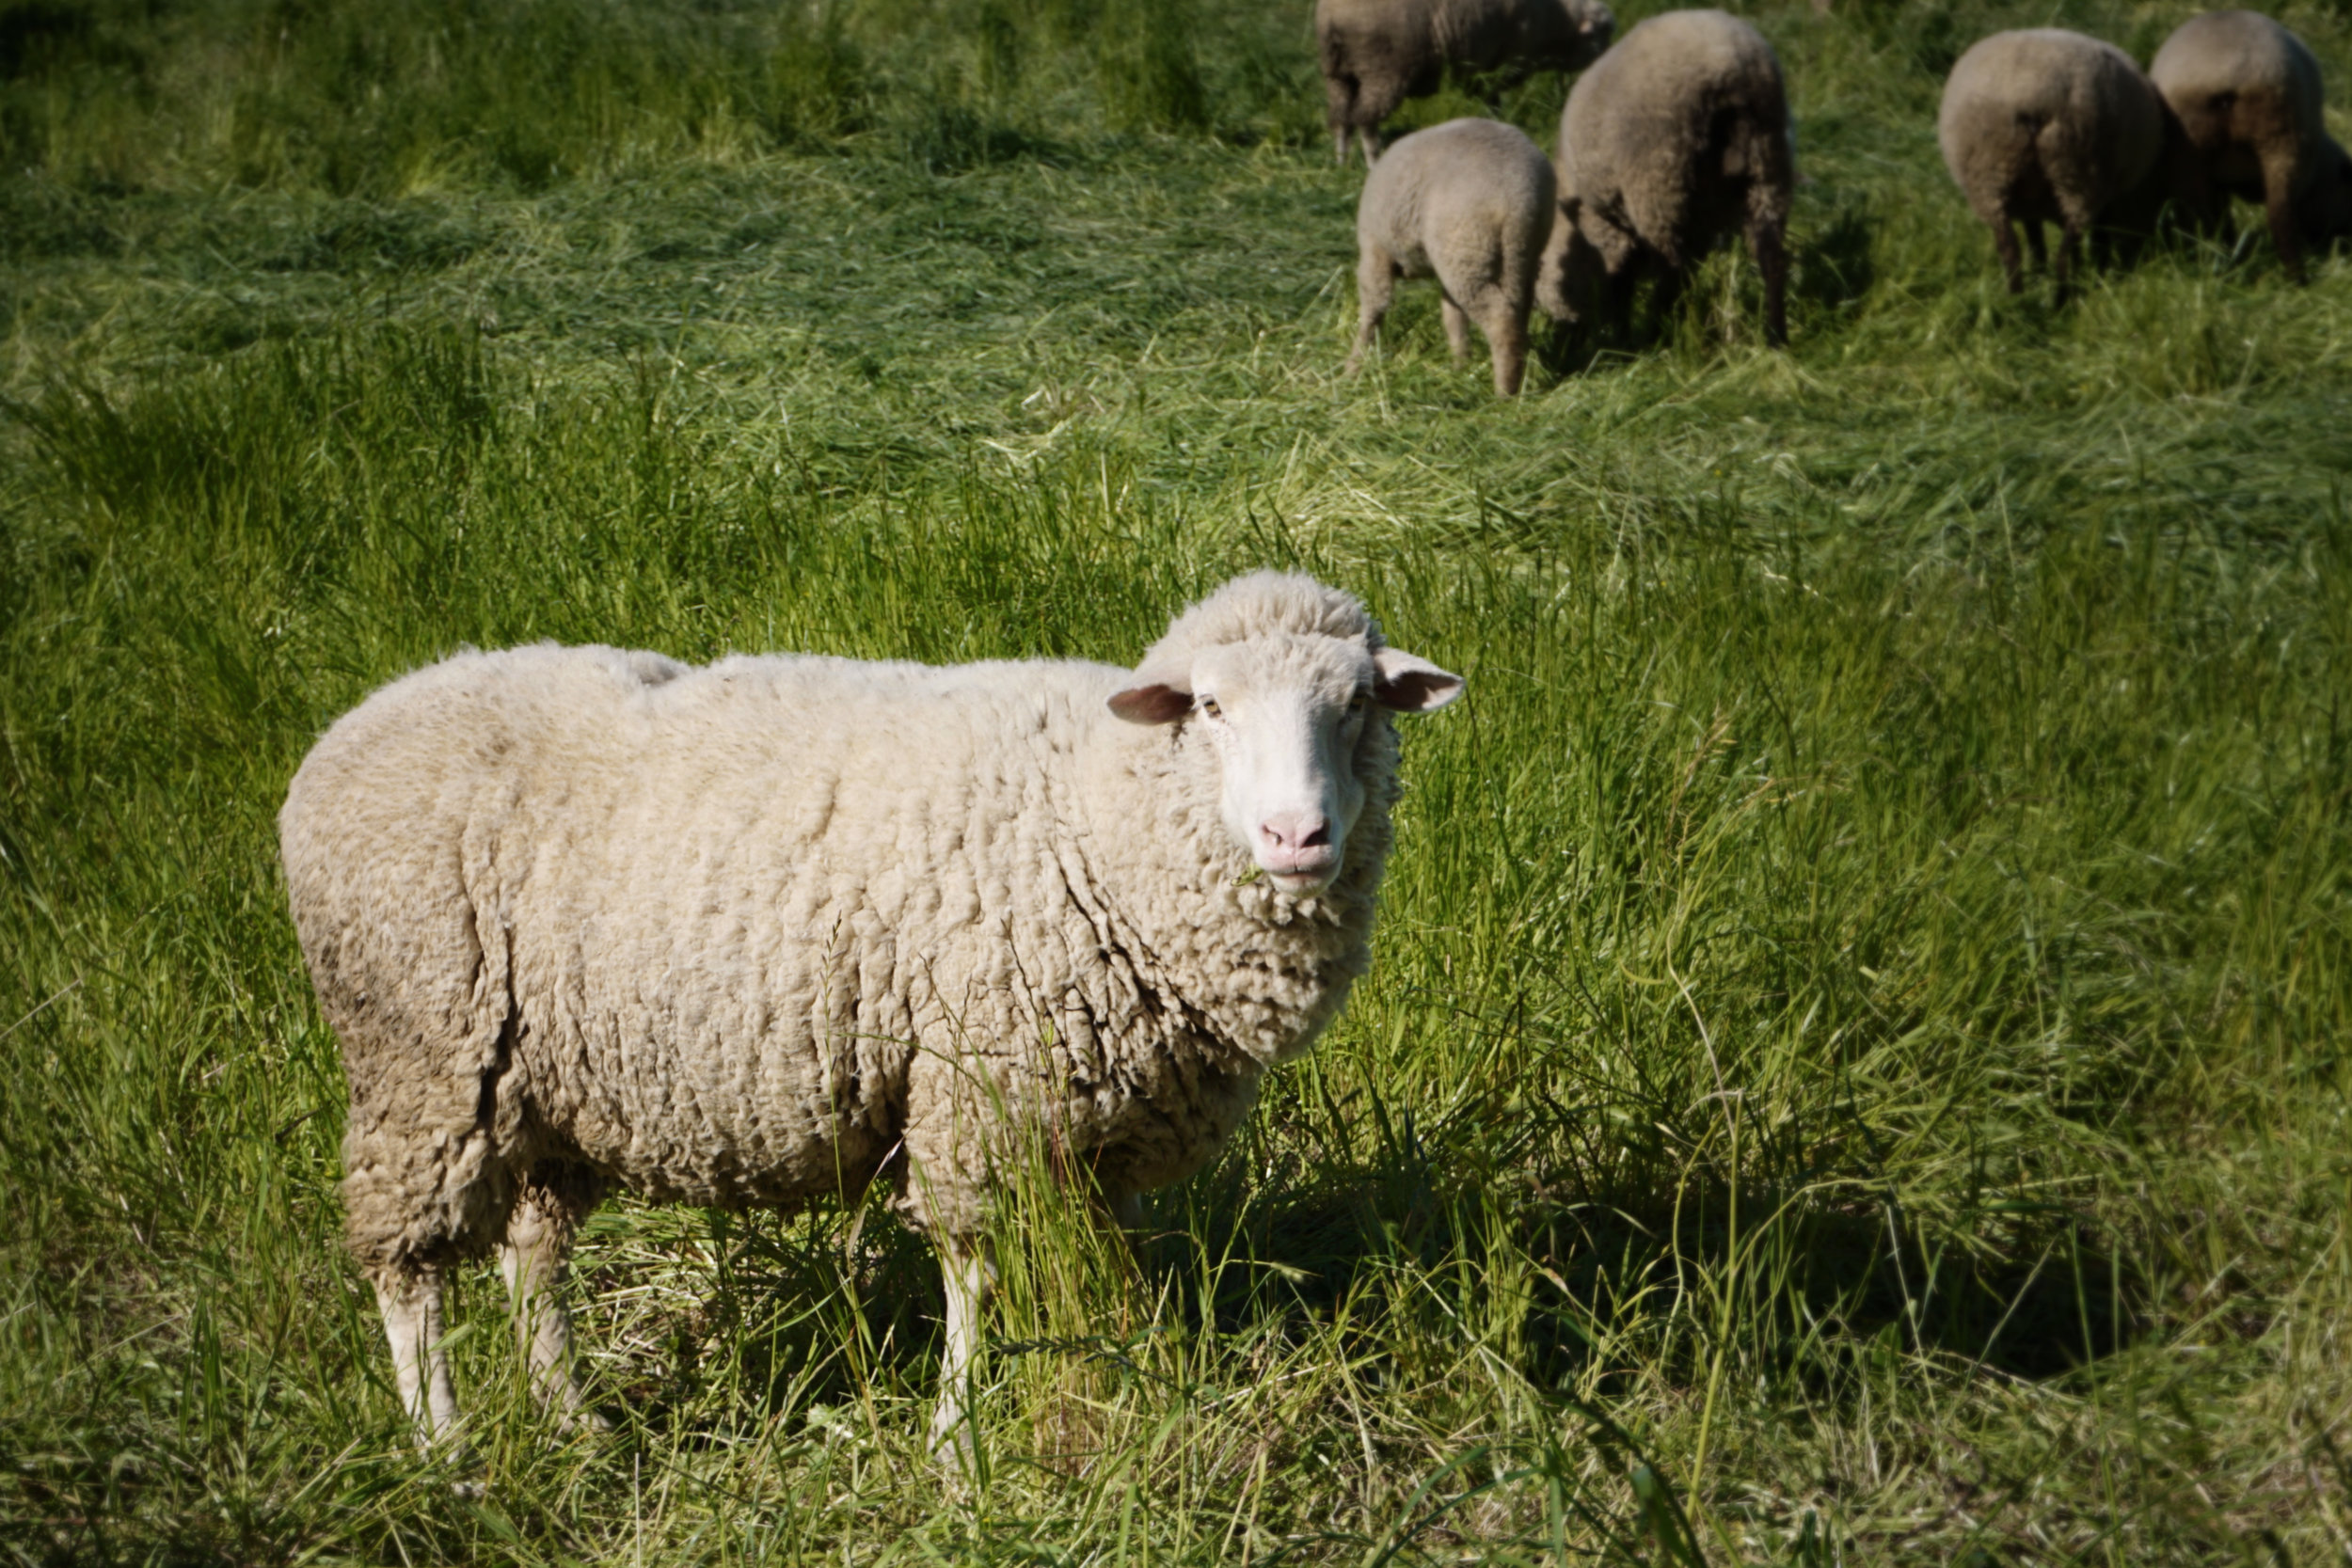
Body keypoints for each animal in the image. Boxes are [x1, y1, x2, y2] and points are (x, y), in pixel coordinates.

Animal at [279, 566, 1468, 1457]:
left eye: (1356, 704)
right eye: (1213, 707)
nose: (1296, 837)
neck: (1094, 806)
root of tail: (342, 736)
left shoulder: (1105, 1129)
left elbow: (1114, 1271)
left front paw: (1133, 1387)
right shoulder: (979, 1087)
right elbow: (974, 1275)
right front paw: (959, 1440)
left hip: (546, 1089)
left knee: (533, 1260)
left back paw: (576, 1422)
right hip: (422, 1061)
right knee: (406, 1272)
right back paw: (447, 1453)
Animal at [1317, 0, 1609, 168]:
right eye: (1602, 34)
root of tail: (1334, 16)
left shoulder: (1480, 65)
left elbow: (1487, 96)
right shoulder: (1508, 59)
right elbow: (1494, 94)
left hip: (1338, 72)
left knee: (1341, 119)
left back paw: (1341, 162)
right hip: (1383, 69)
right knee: (1366, 120)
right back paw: (1373, 162)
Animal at [1534, 8, 1788, 350]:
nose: (1567, 341)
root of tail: (1727, 67)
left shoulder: (1615, 228)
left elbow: (1621, 284)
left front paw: (1621, 336)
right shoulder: (1699, 224)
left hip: (1657, 179)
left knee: (1670, 273)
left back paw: (1656, 337)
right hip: (1769, 158)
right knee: (1771, 255)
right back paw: (1776, 338)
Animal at [1929, 26, 2164, 303]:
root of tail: (2031, 94)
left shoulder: (2030, 204)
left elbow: (2036, 241)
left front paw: (2040, 273)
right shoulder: (2104, 196)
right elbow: (2098, 236)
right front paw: (2098, 270)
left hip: (1990, 176)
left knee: (2009, 248)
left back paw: (2017, 300)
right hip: (2080, 172)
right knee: (2066, 248)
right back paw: (2063, 297)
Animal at [2154, 9, 2352, 281]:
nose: (2344, 238)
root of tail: (2229, 71)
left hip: (2191, 151)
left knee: (2204, 215)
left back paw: (2221, 262)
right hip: (2283, 136)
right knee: (2280, 215)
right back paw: (2297, 276)